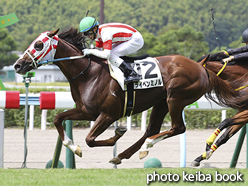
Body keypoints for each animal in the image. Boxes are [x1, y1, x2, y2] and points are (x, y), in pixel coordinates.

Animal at [13, 28, 242, 165]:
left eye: (39, 45)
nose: (18, 65)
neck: (88, 73)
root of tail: (201, 67)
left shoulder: (108, 114)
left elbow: (90, 139)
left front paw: (118, 133)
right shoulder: (86, 111)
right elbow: (58, 119)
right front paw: (73, 146)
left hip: (175, 98)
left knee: (178, 128)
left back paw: (144, 147)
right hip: (161, 102)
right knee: (153, 129)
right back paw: (126, 154)